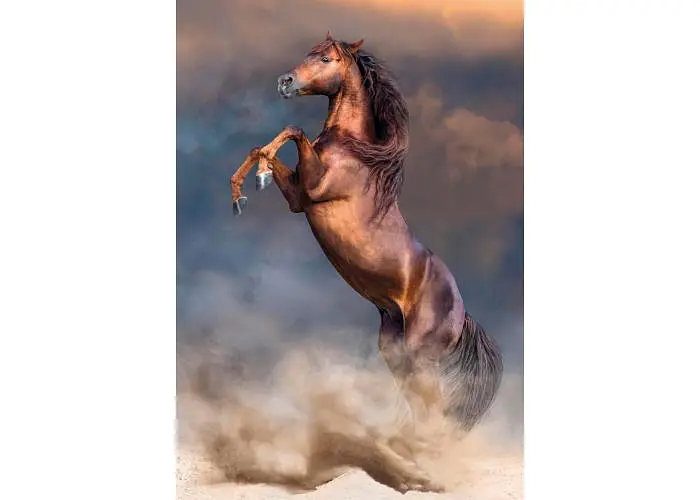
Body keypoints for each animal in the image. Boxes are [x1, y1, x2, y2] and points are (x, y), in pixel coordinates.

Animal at [229, 33, 503, 433]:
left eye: (326, 59)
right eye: (308, 53)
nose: (285, 82)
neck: (353, 150)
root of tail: (462, 313)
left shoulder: (312, 189)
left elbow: (293, 131)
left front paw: (258, 178)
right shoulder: (297, 196)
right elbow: (261, 148)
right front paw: (241, 193)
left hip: (420, 355)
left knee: (433, 407)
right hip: (396, 351)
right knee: (419, 406)